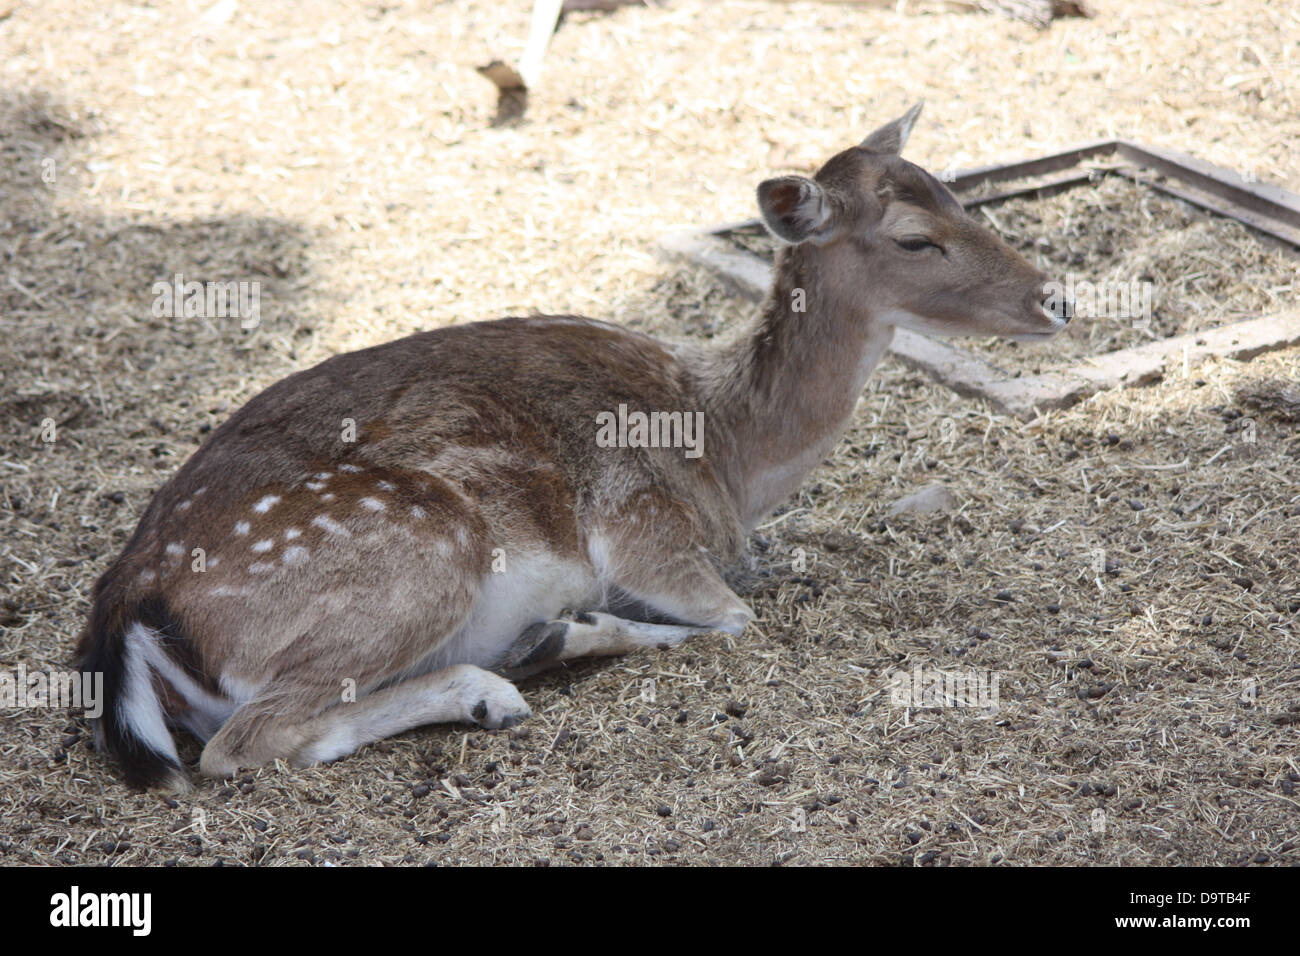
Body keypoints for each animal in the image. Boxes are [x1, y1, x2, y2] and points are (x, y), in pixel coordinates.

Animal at [76, 106, 1066, 790]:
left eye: (957, 191)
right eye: (915, 237)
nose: (1058, 298)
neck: (731, 453)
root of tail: (127, 607)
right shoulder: (641, 526)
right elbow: (733, 616)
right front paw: (572, 632)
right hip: (417, 542)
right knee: (244, 743)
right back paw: (504, 679)